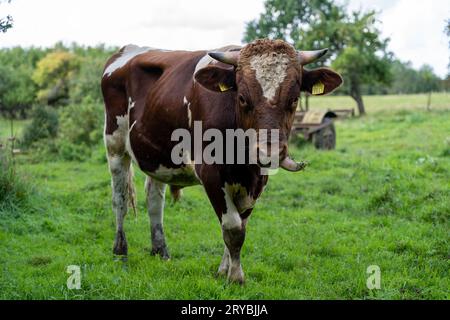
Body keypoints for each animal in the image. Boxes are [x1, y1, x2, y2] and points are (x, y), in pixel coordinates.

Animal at [102, 39, 342, 282]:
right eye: (242, 98)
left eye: (294, 99)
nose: (270, 152)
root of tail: (127, 50)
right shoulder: (211, 174)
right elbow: (233, 228)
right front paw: (236, 277)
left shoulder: (257, 181)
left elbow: (241, 225)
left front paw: (223, 271)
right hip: (115, 146)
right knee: (119, 199)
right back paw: (120, 252)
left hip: (157, 156)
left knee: (154, 200)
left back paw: (161, 251)